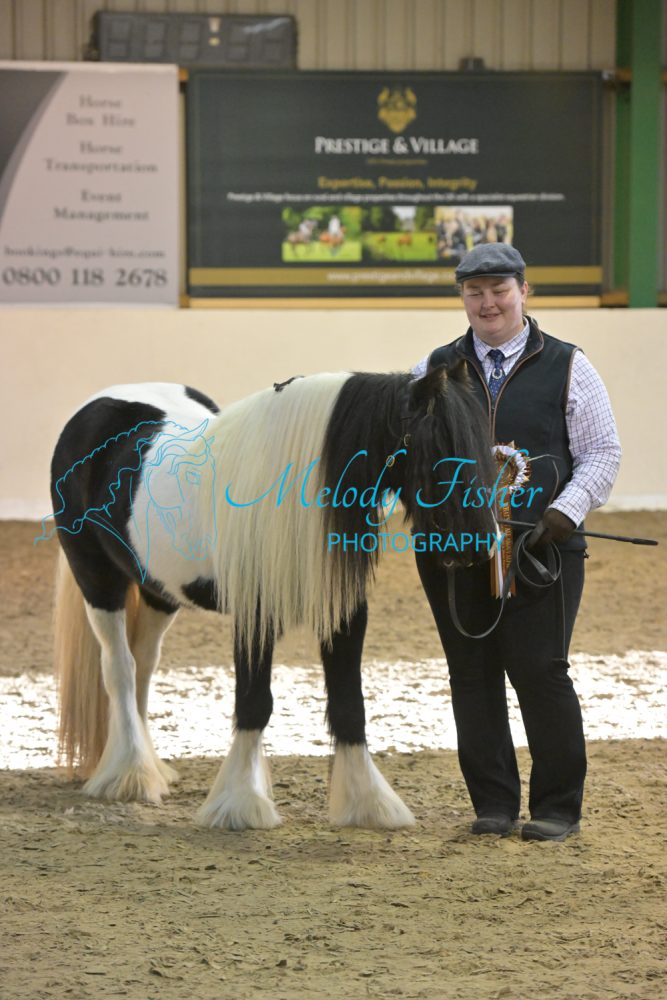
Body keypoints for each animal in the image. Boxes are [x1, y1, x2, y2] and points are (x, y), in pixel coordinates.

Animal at [40, 366, 497, 831]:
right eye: (439, 445)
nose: (484, 544)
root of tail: (97, 406)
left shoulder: (345, 613)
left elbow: (350, 705)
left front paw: (369, 803)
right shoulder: (255, 614)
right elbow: (254, 704)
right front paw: (240, 803)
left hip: (158, 591)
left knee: (144, 666)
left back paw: (150, 767)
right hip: (97, 579)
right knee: (119, 668)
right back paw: (130, 774)